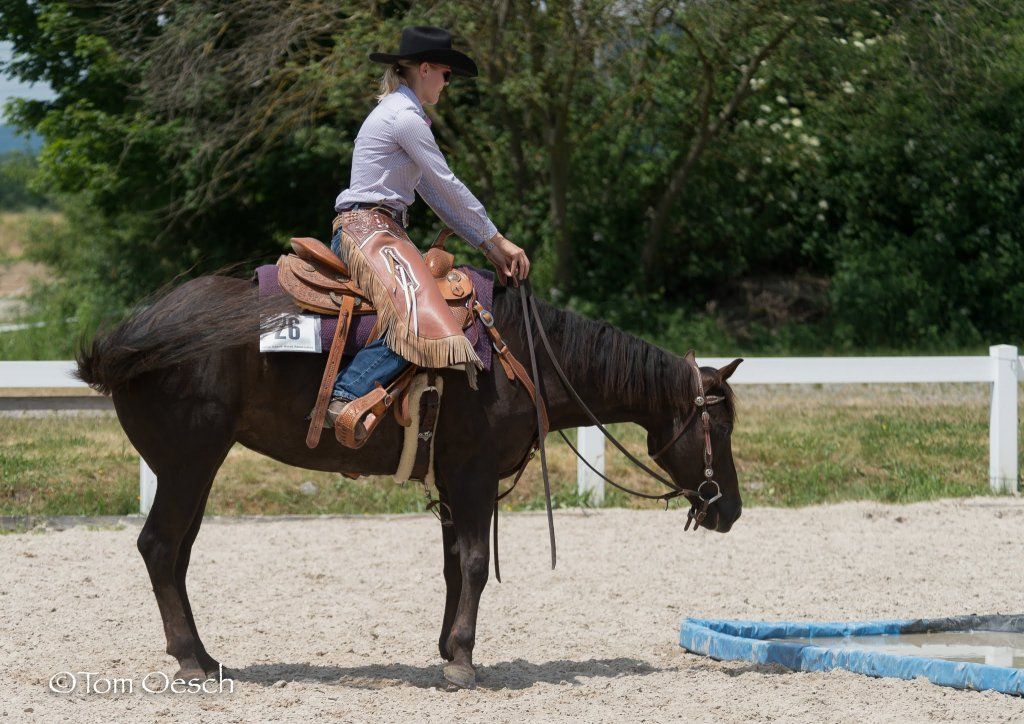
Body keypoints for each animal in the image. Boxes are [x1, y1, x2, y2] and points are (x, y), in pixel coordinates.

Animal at [75, 273, 744, 689]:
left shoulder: (451, 481)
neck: (517, 357)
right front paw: (464, 660)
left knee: (178, 555)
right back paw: (191, 659)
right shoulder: (473, 477)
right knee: (159, 547)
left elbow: (452, 565)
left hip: (195, 469)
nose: (730, 510)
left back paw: (206, 656)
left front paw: (448, 648)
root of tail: (131, 337)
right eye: (722, 425)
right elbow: (474, 562)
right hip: (187, 465)